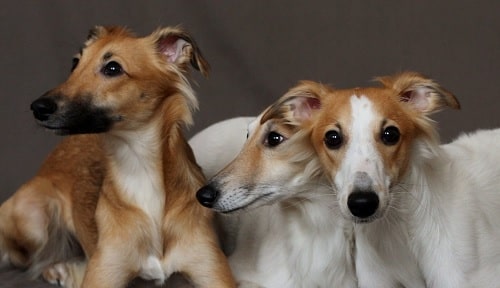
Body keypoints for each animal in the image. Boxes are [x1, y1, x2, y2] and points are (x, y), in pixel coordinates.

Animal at [0, 25, 235, 286]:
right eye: (75, 63)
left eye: (112, 68)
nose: (37, 108)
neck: (139, 167)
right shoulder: (104, 272)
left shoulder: (212, 271)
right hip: (33, 219)